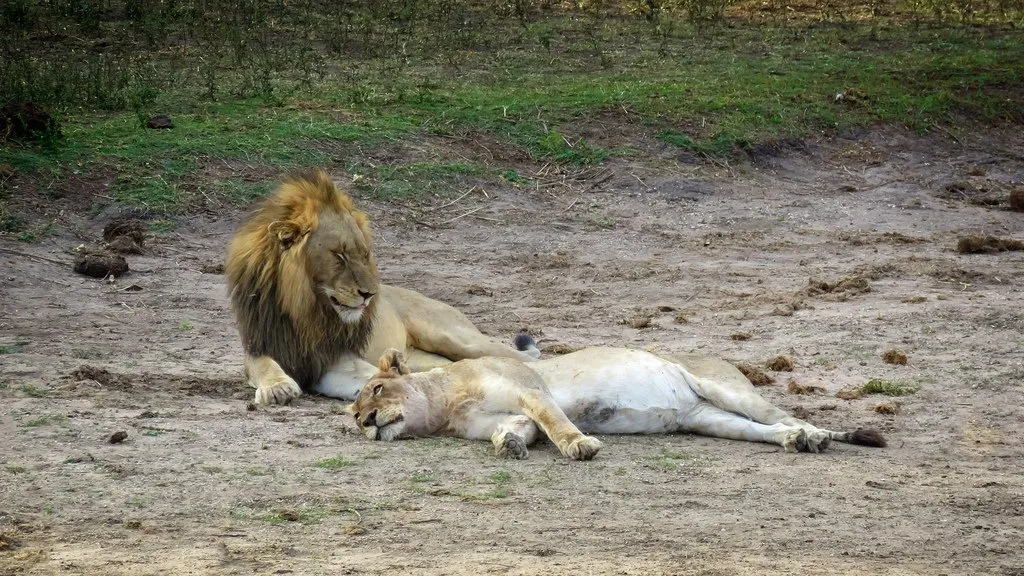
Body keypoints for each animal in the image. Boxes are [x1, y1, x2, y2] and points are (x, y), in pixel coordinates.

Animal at [225, 170, 540, 403]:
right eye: (339, 255)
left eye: (364, 254)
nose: (369, 294)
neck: (304, 309)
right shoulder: (259, 344)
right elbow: (263, 365)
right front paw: (277, 387)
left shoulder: (338, 356)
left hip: (457, 338)